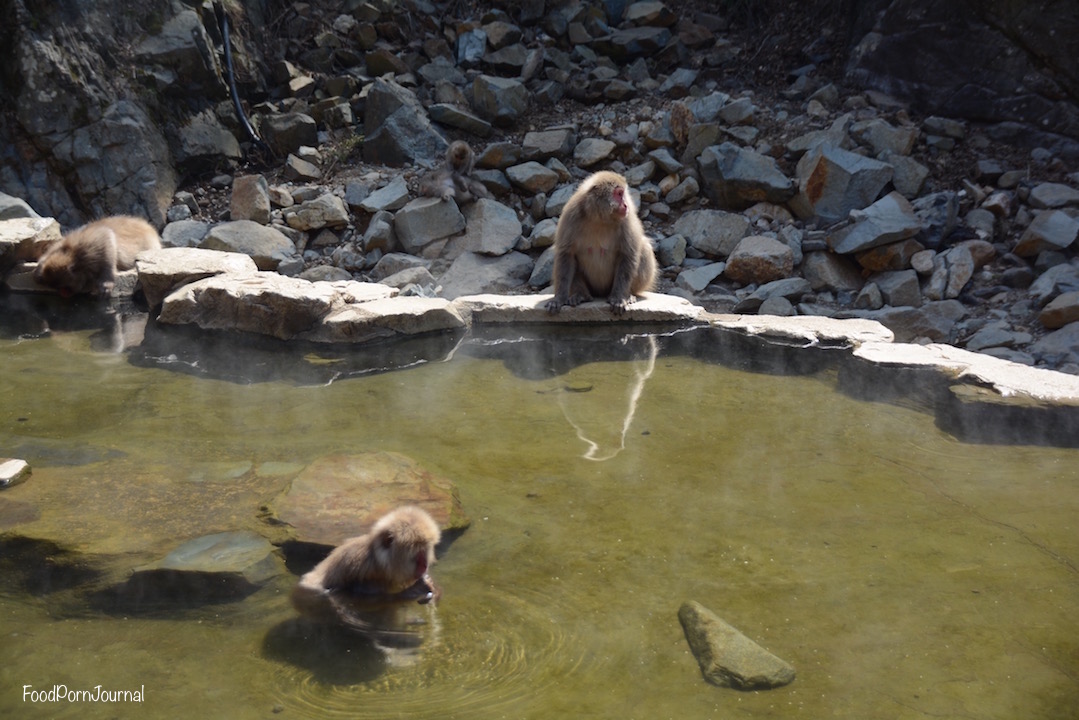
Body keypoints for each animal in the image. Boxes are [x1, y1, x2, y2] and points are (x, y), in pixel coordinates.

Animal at [543, 170, 651, 317]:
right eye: (619, 194)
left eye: (623, 194)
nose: (626, 205)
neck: (599, 218)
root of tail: (600, 293)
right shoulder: (570, 216)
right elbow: (566, 254)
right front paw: (559, 299)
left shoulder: (627, 220)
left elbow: (628, 254)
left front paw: (618, 298)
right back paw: (581, 295)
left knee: (645, 248)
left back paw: (628, 294)